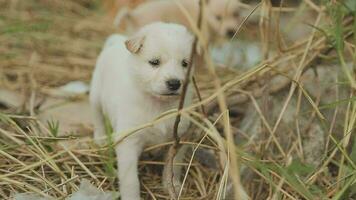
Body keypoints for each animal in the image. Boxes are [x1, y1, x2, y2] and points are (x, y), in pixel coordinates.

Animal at [89, 22, 195, 200]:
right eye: (154, 62)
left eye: (185, 63)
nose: (174, 83)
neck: (158, 105)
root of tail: (115, 42)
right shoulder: (129, 142)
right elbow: (131, 179)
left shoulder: (179, 138)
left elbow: (173, 165)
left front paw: (172, 186)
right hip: (95, 95)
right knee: (97, 117)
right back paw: (101, 138)